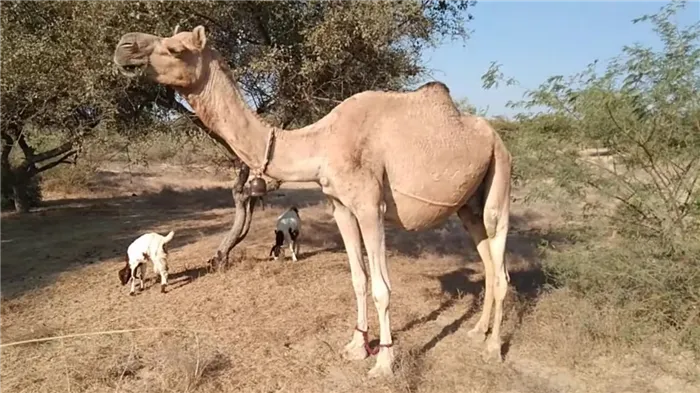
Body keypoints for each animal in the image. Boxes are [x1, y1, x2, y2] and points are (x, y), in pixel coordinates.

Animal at [112, 25, 512, 376]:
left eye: (175, 48)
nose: (124, 46)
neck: (321, 142)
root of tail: (496, 136)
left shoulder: (370, 206)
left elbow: (382, 288)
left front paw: (383, 364)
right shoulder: (341, 206)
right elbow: (358, 279)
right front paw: (356, 347)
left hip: (500, 174)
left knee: (501, 262)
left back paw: (493, 348)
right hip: (467, 206)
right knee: (488, 261)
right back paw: (477, 332)